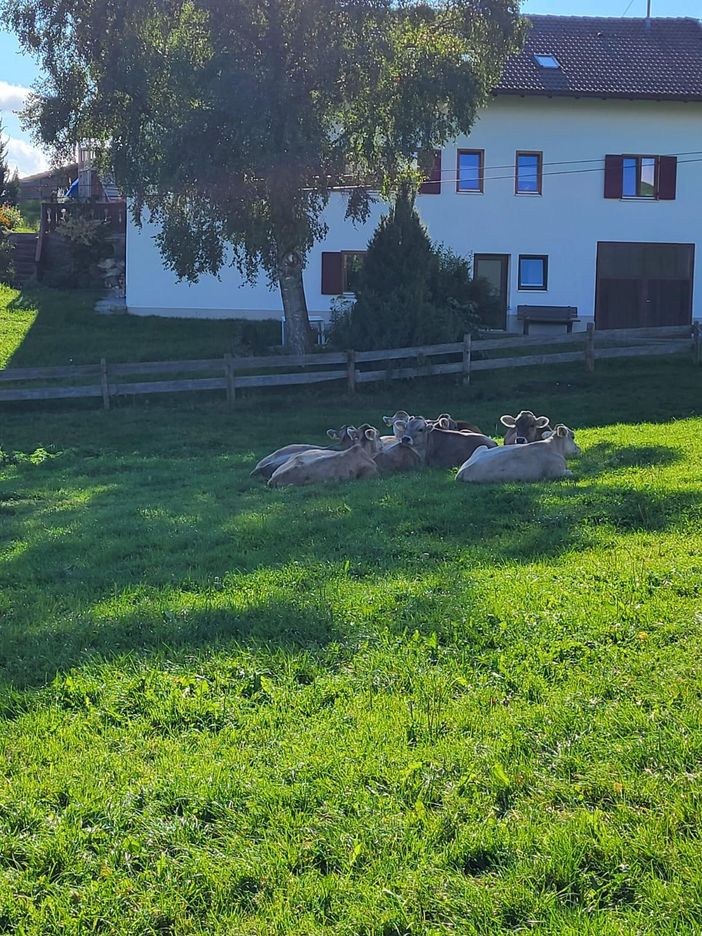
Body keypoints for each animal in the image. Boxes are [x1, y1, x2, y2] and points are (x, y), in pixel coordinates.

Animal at [456, 424, 584, 482]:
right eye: (573, 436)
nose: (579, 449)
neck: (553, 446)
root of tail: (461, 471)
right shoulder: (556, 472)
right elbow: (571, 472)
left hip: (482, 447)